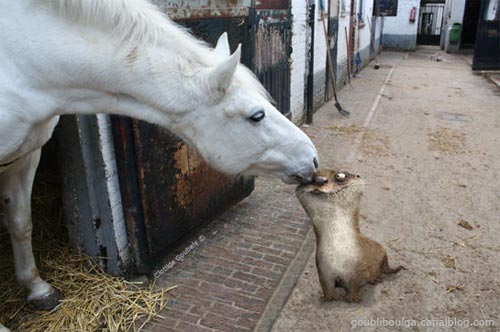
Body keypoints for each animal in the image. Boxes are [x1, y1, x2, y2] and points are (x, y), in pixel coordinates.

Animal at [0, 0, 318, 330]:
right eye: (257, 116)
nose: (312, 157)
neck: (24, 64)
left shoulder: (28, 156)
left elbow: (21, 222)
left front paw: (38, 289)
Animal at [294, 170, 404, 302]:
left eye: (340, 176)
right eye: (307, 178)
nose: (318, 182)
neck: (338, 252)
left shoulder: (355, 272)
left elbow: (354, 286)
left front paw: (352, 298)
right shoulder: (323, 270)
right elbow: (326, 286)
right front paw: (328, 298)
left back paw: (375, 279)